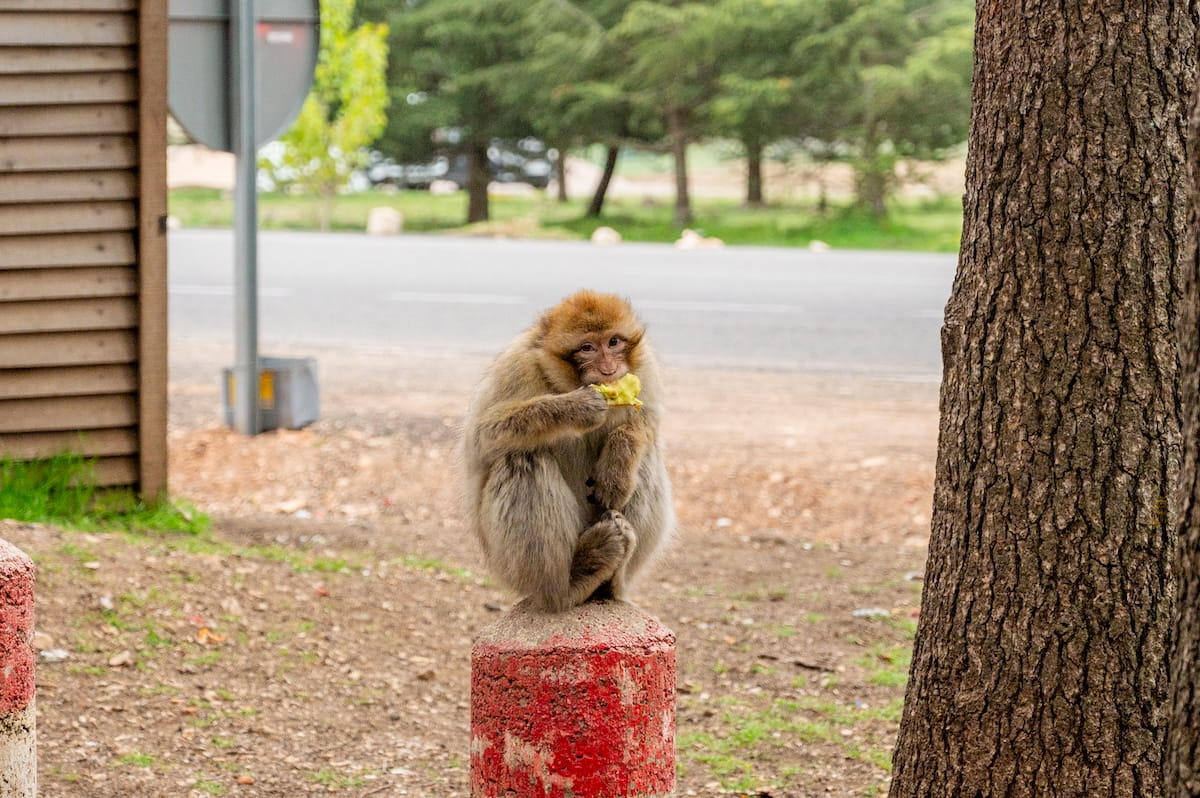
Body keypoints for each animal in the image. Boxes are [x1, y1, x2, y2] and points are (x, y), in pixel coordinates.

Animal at [460, 290, 674, 613]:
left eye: (613, 342)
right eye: (587, 348)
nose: (609, 369)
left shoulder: (644, 365)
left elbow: (648, 419)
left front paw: (616, 467)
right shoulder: (516, 365)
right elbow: (481, 439)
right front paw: (575, 407)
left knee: (647, 455)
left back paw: (611, 582)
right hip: (505, 565)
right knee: (523, 458)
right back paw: (572, 581)